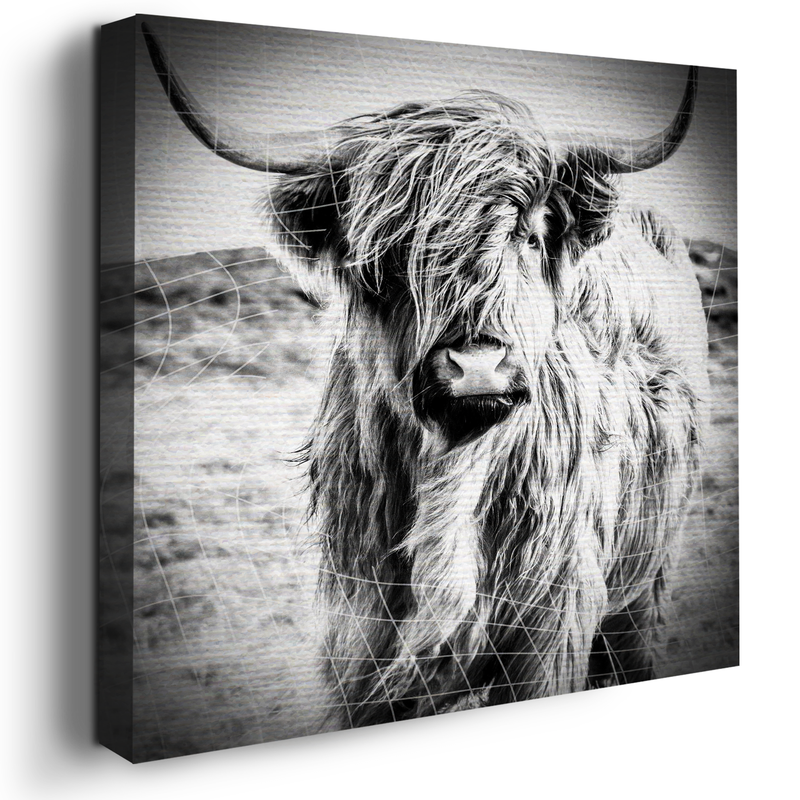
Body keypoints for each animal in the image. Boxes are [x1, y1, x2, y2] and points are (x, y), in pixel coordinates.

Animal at [143, 23, 710, 729]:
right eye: (383, 254)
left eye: (530, 234)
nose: (477, 365)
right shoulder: (360, 641)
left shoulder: (553, 630)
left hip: (644, 587)